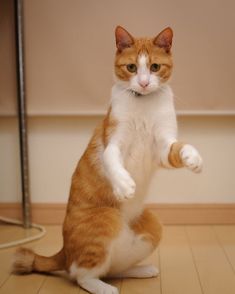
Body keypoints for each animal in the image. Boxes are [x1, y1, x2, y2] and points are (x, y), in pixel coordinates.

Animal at [12, 25, 203, 294]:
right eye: (131, 67)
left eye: (154, 67)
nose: (144, 83)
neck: (143, 105)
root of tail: (63, 251)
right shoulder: (114, 140)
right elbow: (111, 158)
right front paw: (124, 184)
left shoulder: (163, 147)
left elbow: (179, 147)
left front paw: (193, 157)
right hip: (106, 219)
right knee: (80, 274)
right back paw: (103, 287)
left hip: (152, 223)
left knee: (113, 268)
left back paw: (140, 270)